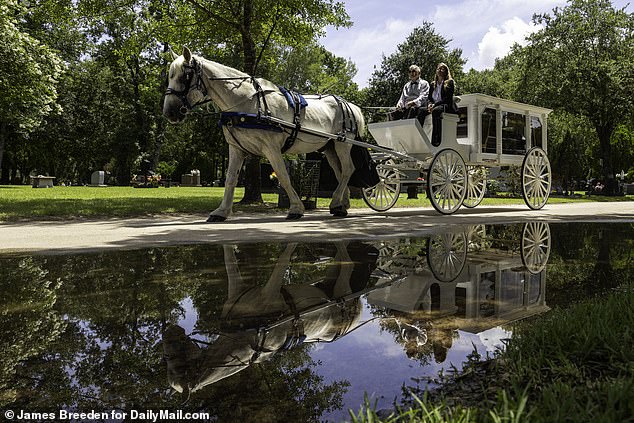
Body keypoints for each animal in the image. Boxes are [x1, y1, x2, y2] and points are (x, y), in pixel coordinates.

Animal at [162, 46, 366, 222]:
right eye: (169, 77)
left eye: (185, 76)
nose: (169, 112)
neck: (248, 104)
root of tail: (350, 105)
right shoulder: (236, 148)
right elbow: (230, 179)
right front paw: (221, 211)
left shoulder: (271, 148)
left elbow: (283, 176)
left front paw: (296, 208)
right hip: (329, 147)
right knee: (341, 172)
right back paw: (341, 204)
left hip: (343, 143)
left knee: (348, 169)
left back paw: (336, 203)